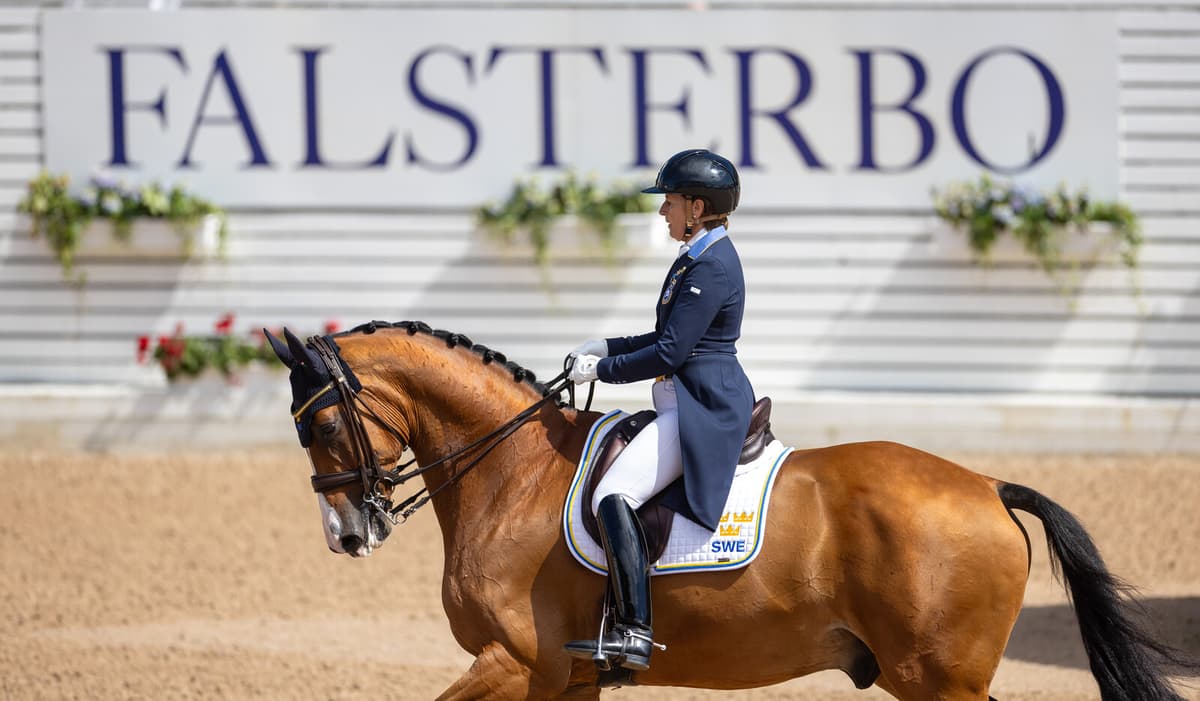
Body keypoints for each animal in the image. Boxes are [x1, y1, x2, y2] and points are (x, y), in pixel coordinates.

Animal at [265, 320, 1194, 700]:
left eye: (320, 425)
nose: (349, 534)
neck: (513, 471)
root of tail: (988, 485)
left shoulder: (513, 661)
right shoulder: (564, 677)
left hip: (942, 679)